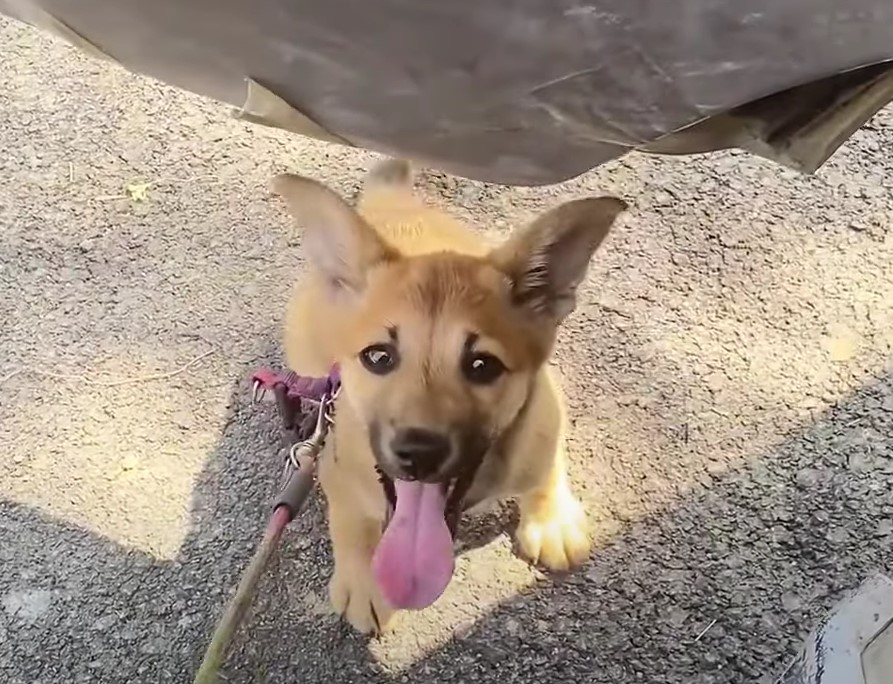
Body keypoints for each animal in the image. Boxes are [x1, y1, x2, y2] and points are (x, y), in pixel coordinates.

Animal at [268, 160, 624, 636]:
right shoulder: (336, 469)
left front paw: (551, 517)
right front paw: (363, 582)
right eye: (378, 357)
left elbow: (547, 465)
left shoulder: (543, 419)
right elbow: (350, 524)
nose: (419, 453)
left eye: (483, 365)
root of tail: (392, 202)